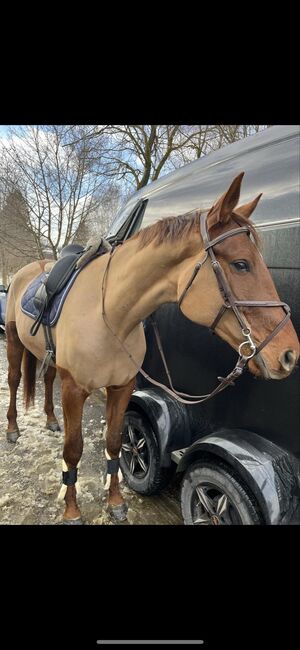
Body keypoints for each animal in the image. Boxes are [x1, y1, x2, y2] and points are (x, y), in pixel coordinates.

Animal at [3, 173, 298, 520]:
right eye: (241, 264)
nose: (289, 353)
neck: (109, 314)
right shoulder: (74, 389)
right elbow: (73, 449)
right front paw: (72, 511)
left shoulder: (121, 387)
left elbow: (114, 442)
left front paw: (116, 502)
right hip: (13, 341)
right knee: (13, 380)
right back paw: (12, 429)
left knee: (47, 380)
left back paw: (50, 420)